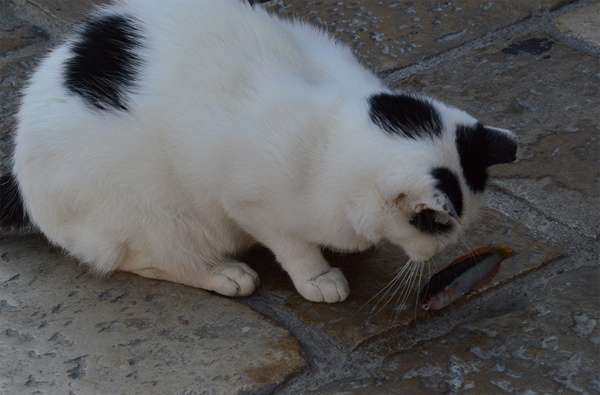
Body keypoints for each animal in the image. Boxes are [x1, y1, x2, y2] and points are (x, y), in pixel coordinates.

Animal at [0, 0, 516, 304]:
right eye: (439, 230)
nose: (444, 250)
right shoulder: (249, 203)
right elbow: (293, 244)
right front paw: (317, 276)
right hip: (151, 215)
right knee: (139, 259)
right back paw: (222, 274)